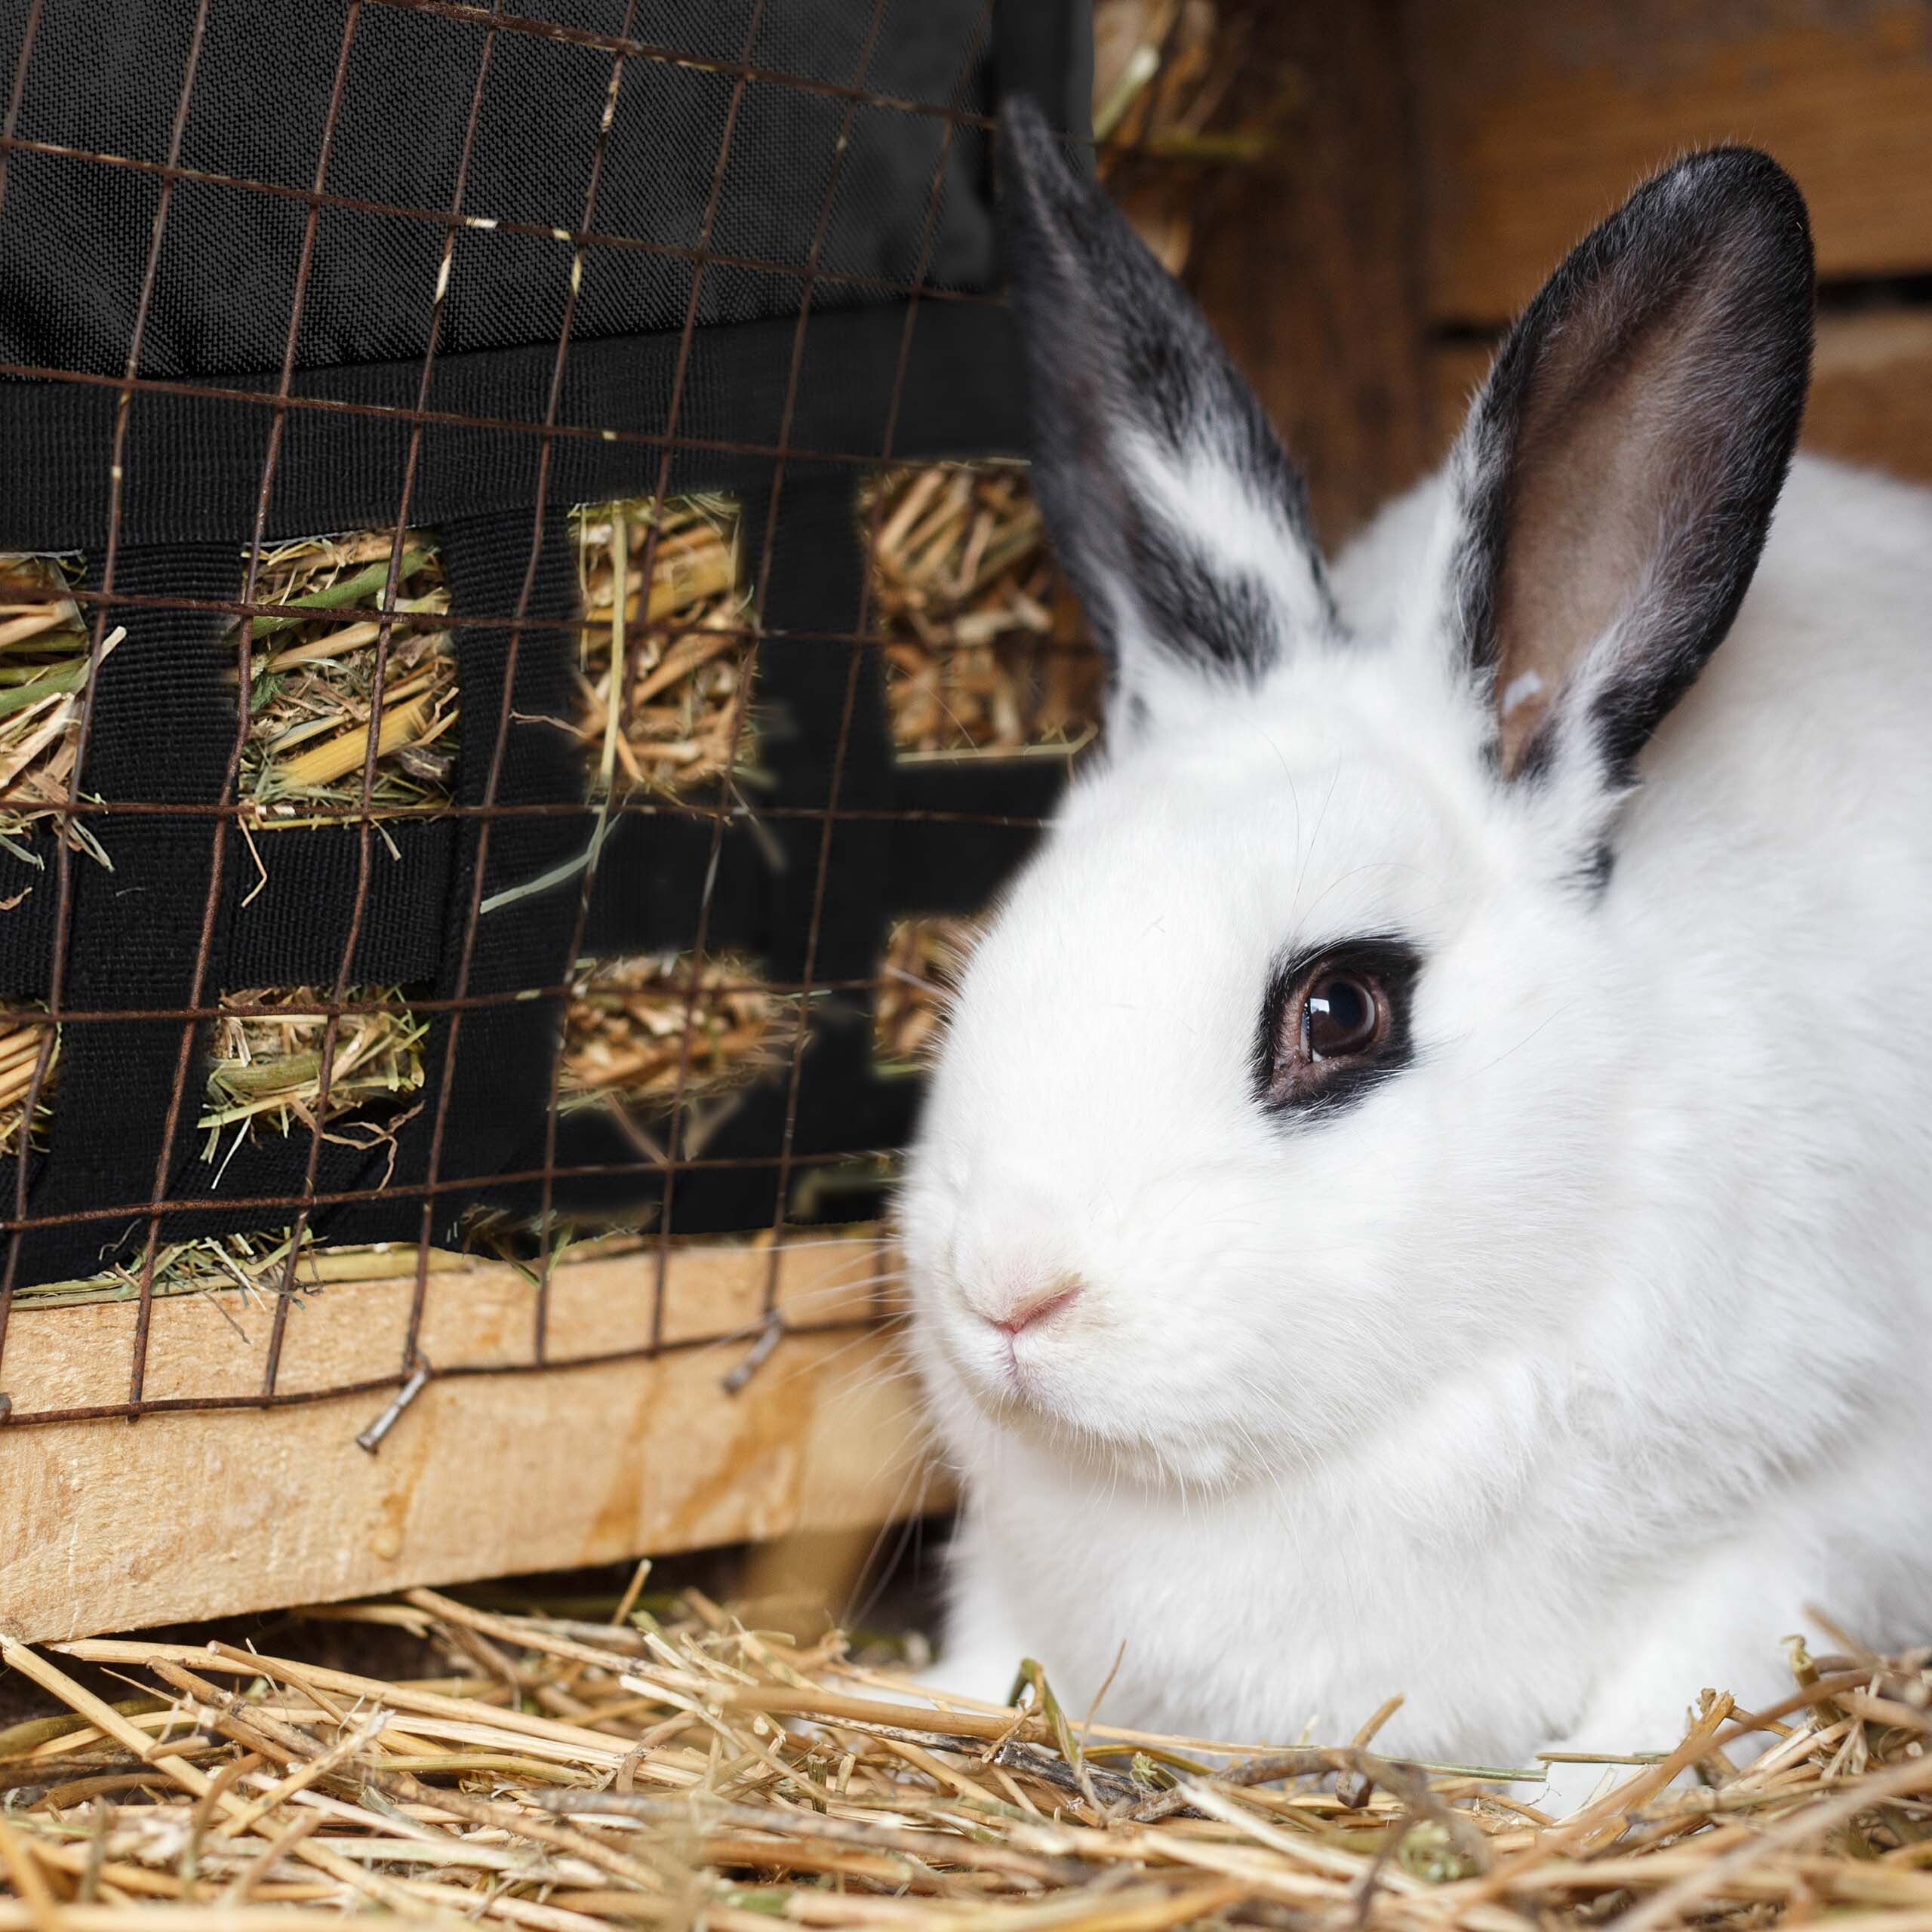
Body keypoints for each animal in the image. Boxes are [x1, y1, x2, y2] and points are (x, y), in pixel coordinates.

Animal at [897, 95, 1932, 1811]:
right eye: (1015, 935)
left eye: (1339, 1010)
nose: (1009, 1292)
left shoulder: (1826, 1513)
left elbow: (1682, 1681)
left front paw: (1564, 1804)